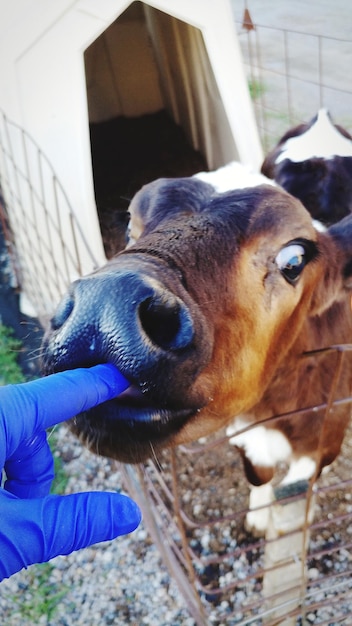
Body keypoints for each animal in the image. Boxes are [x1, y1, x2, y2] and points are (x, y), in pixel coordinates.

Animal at [42, 176, 352, 528]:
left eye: (294, 261)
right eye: (130, 227)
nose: (107, 301)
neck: (272, 415)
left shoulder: (327, 436)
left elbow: (300, 488)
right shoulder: (244, 435)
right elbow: (259, 475)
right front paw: (259, 516)